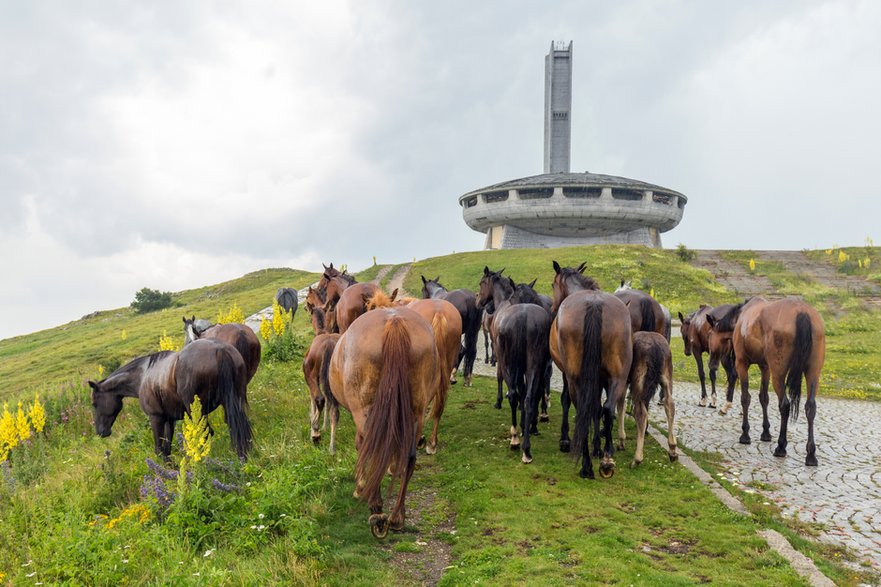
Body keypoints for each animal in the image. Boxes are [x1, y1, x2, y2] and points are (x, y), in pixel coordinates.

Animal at [89, 340, 251, 464]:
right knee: (235, 425)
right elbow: (167, 448)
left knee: (207, 433)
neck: (143, 375)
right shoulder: (169, 420)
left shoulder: (156, 418)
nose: (100, 432)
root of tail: (219, 350)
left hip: (198, 413)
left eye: (94, 404)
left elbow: (159, 449)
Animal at [326, 308, 436, 544]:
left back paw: (377, 513)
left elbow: (361, 448)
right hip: (416, 411)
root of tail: (394, 323)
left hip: (365, 411)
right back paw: (397, 517)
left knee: (373, 451)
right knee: (409, 456)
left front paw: (360, 486)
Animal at [552, 260, 632, 480]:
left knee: (583, 411)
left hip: (576, 379)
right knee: (607, 408)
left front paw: (566, 440)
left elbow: (567, 401)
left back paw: (586, 466)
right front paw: (599, 448)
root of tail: (595, 304)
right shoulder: (600, 379)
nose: (553, 307)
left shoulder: (567, 375)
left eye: (553, 285)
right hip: (617, 377)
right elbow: (598, 408)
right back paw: (606, 459)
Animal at [708, 298, 824, 468]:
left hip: (778, 375)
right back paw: (811, 455)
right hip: (812, 373)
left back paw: (781, 447)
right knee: (810, 407)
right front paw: (766, 433)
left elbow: (745, 398)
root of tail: (801, 310)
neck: (741, 318)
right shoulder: (765, 367)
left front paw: (745, 434)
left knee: (785, 405)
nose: (711, 364)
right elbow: (764, 398)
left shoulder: (742, 364)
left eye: (710, 336)